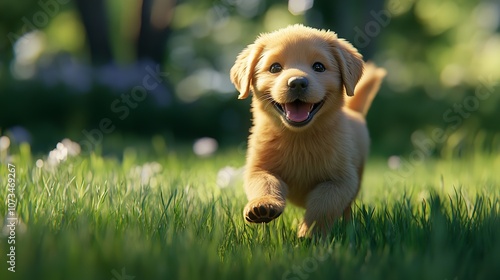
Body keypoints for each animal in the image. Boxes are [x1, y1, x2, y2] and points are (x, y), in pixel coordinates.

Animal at [230, 24, 386, 237]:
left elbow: (323, 205)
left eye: (318, 67)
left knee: (346, 209)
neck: (299, 137)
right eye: (275, 67)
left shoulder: (341, 181)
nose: (297, 82)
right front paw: (262, 205)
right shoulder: (258, 168)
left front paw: (309, 232)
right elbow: (265, 183)